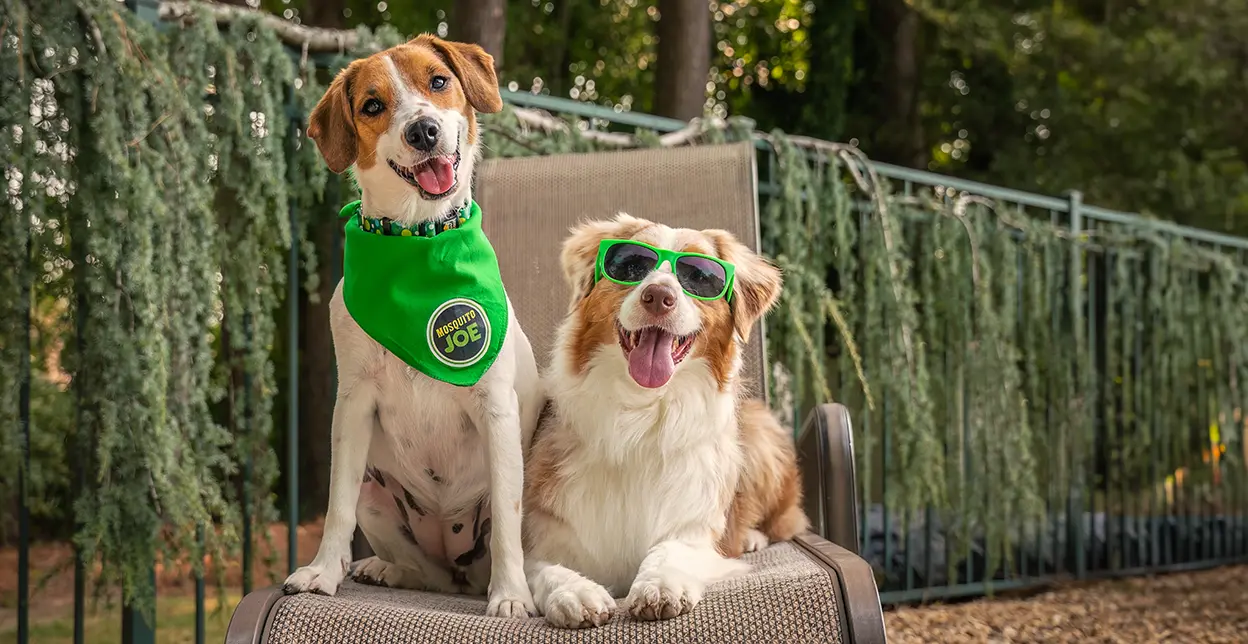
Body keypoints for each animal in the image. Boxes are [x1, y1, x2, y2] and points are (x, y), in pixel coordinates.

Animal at [287, 36, 541, 619]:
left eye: (439, 81)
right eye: (372, 106)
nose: (422, 130)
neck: (417, 239)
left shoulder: (496, 408)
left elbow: (507, 522)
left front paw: (511, 596)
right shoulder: (353, 403)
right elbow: (335, 507)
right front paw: (322, 571)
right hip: (378, 495)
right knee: (428, 574)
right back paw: (386, 569)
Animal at [519, 213, 803, 626]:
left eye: (699, 276)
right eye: (631, 265)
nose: (658, 296)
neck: (640, 413)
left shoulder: (695, 528)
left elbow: (673, 549)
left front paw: (660, 583)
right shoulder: (545, 534)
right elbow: (542, 569)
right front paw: (574, 591)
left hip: (759, 432)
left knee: (786, 521)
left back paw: (751, 536)